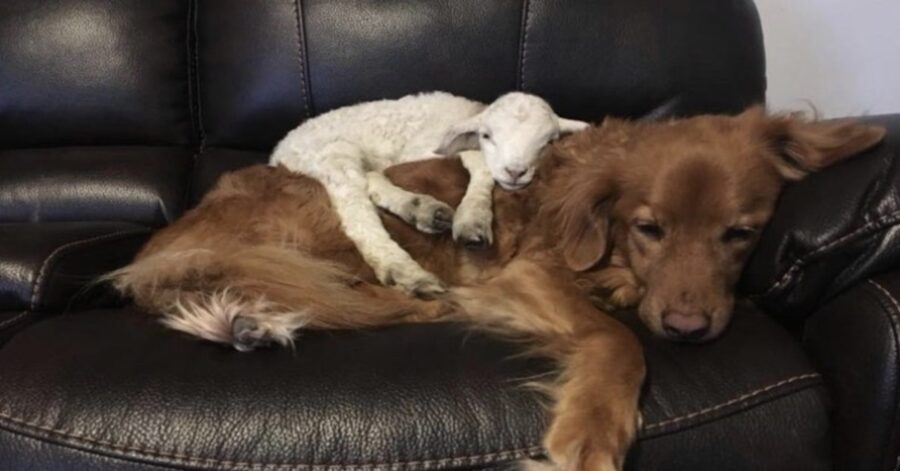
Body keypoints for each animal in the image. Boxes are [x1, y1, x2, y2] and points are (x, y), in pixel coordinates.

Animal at [270, 91, 588, 296]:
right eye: (487, 135)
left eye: (548, 142)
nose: (515, 171)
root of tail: (279, 154)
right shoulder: (423, 148)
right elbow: (479, 160)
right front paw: (473, 219)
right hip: (331, 153)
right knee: (354, 207)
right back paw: (404, 270)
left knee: (369, 180)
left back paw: (420, 209)